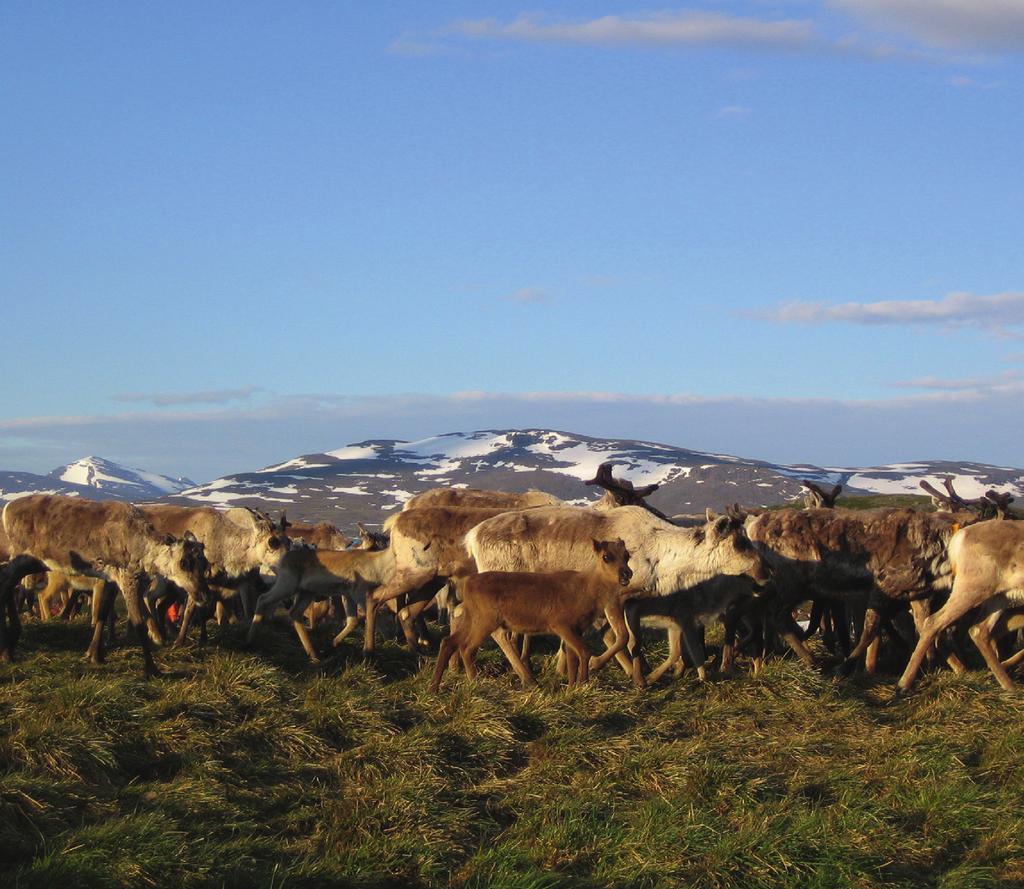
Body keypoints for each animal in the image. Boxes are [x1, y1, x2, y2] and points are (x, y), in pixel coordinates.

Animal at [430, 536, 630, 692]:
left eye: (627, 555)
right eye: (606, 557)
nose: (627, 574)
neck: (590, 591)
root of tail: (467, 584)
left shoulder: (577, 627)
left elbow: (572, 657)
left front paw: (573, 687)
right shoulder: (560, 623)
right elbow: (584, 651)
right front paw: (583, 684)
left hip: (473, 618)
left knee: (449, 641)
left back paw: (434, 687)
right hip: (486, 620)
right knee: (467, 647)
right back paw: (476, 682)